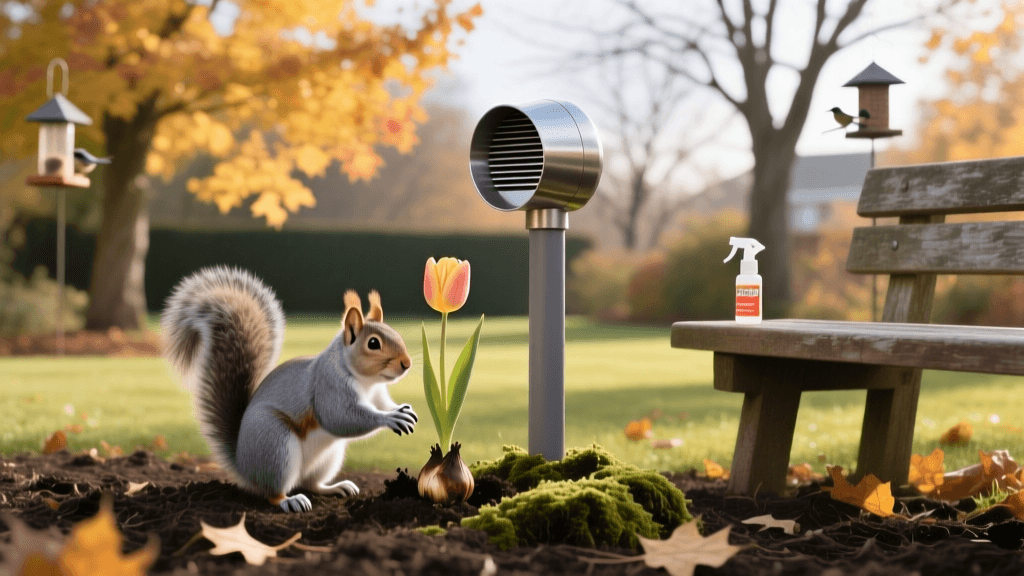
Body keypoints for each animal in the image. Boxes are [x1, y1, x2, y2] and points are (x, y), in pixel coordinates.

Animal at [160, 266, 418, 513]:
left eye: (395, 333)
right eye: (373, 343)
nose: (407, 363)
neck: (366, 381)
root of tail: (243, 467)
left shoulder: (378, 394)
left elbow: (383, 405)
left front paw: (403, 410)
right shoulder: (329, 387)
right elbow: (342, 418)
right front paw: (391, 418)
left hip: (328, 458)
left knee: (311, 483)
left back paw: (335, 488)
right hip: (276, 446)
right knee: (274, 491)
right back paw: (290, 501)